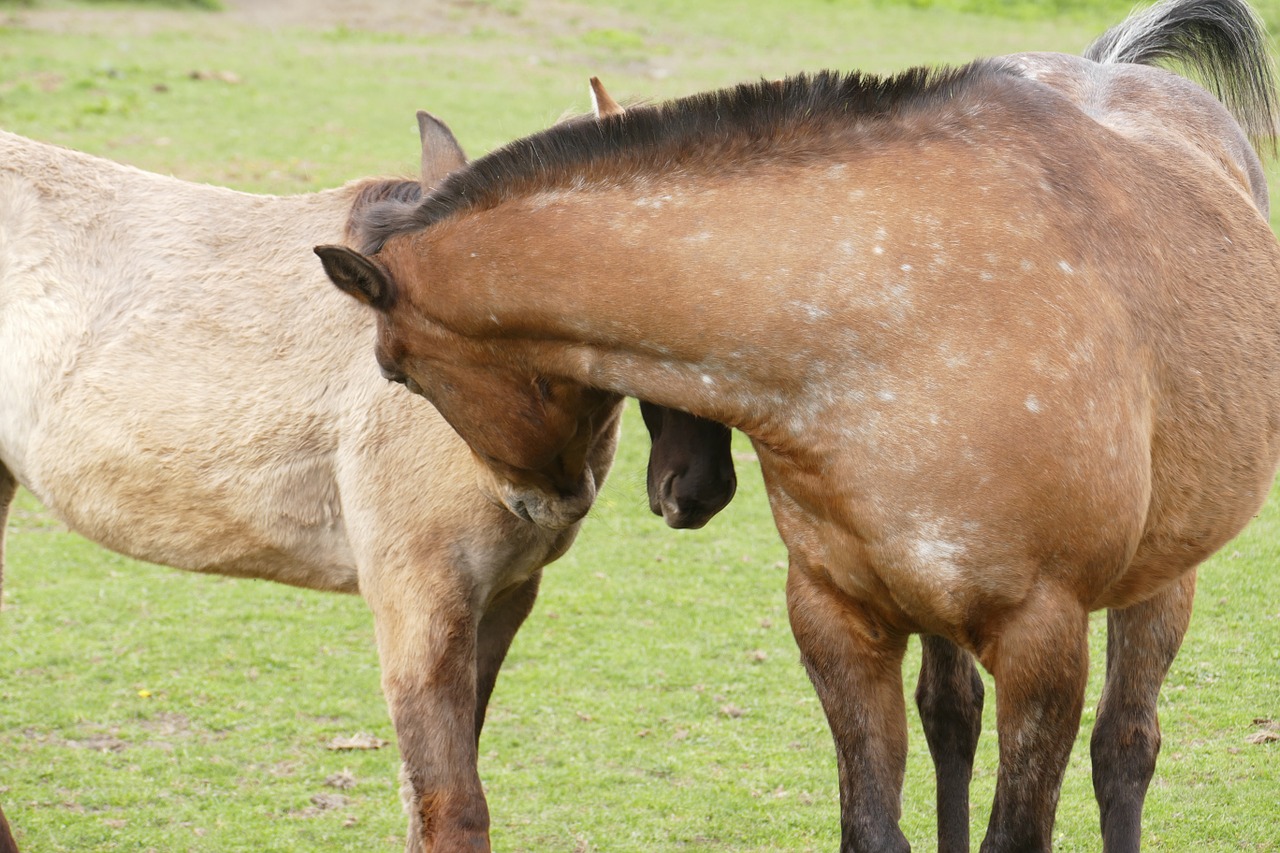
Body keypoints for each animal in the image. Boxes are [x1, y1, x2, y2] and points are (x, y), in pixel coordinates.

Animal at [317, 0, 1280, 845]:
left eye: (397, 370)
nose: (677, 494)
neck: (896, 314)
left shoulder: (1042, 641)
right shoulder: (835, 618)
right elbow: (874, 821)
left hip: (1160, 577)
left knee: (1125, 748)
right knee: (953, 720)